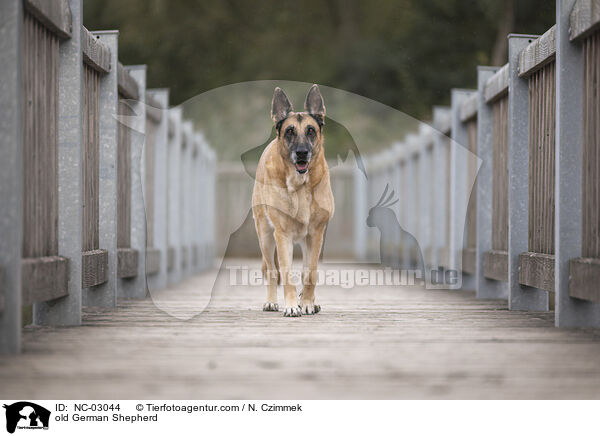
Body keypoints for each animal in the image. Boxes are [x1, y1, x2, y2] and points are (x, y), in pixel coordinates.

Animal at [252, 85, 336, 316]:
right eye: (289, 131)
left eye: (311, 131)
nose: (301, 153)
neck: (300, 186)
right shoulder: (283, 235)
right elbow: (286, 273)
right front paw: (291, 306)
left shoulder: (316, 235)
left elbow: (311, 273)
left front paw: (306, 302)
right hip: (265, 236)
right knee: (272, 270)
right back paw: (271, 302)